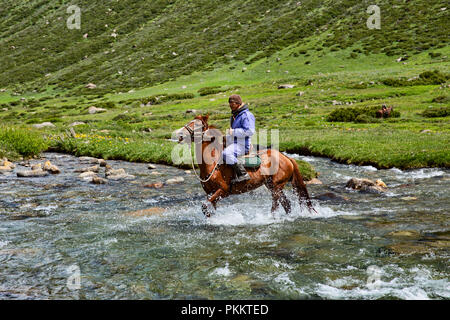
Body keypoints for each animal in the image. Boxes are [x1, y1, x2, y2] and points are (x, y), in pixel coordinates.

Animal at [177, 115, 316, 218]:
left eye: (197, 125)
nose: (180, 135)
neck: (213, 164)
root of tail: (286, 157)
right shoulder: (210, 193)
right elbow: (209, 208)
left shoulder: (223, 190)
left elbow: (204, 206)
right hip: (272, 186)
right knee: (286, 204)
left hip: (277, 187)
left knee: (276, 205)